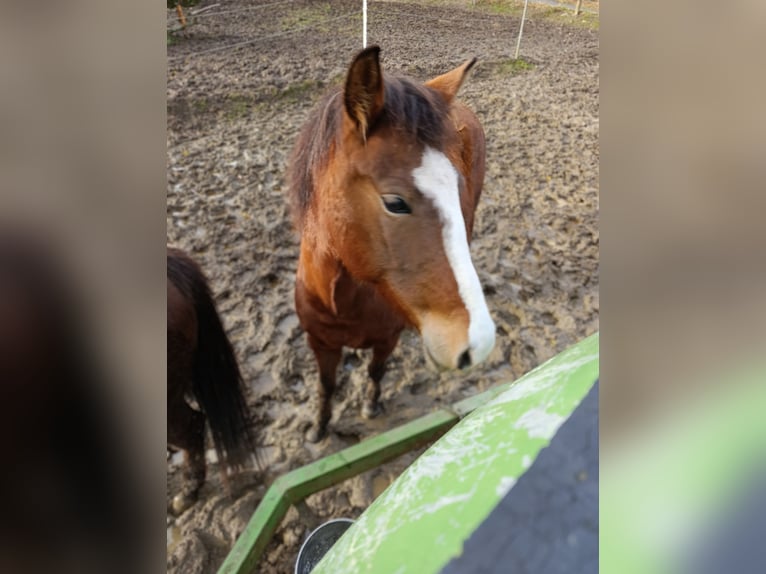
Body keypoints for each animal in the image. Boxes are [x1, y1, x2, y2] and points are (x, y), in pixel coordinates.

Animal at [287, 46, 496, 443]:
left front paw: (371, 406)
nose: (477, 343)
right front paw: (318, 427)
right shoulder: (320, 343)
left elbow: (376, 372)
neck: (345, 300)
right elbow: (326, 385)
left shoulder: (387, 339)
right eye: (395, 202)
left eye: (456, 188)